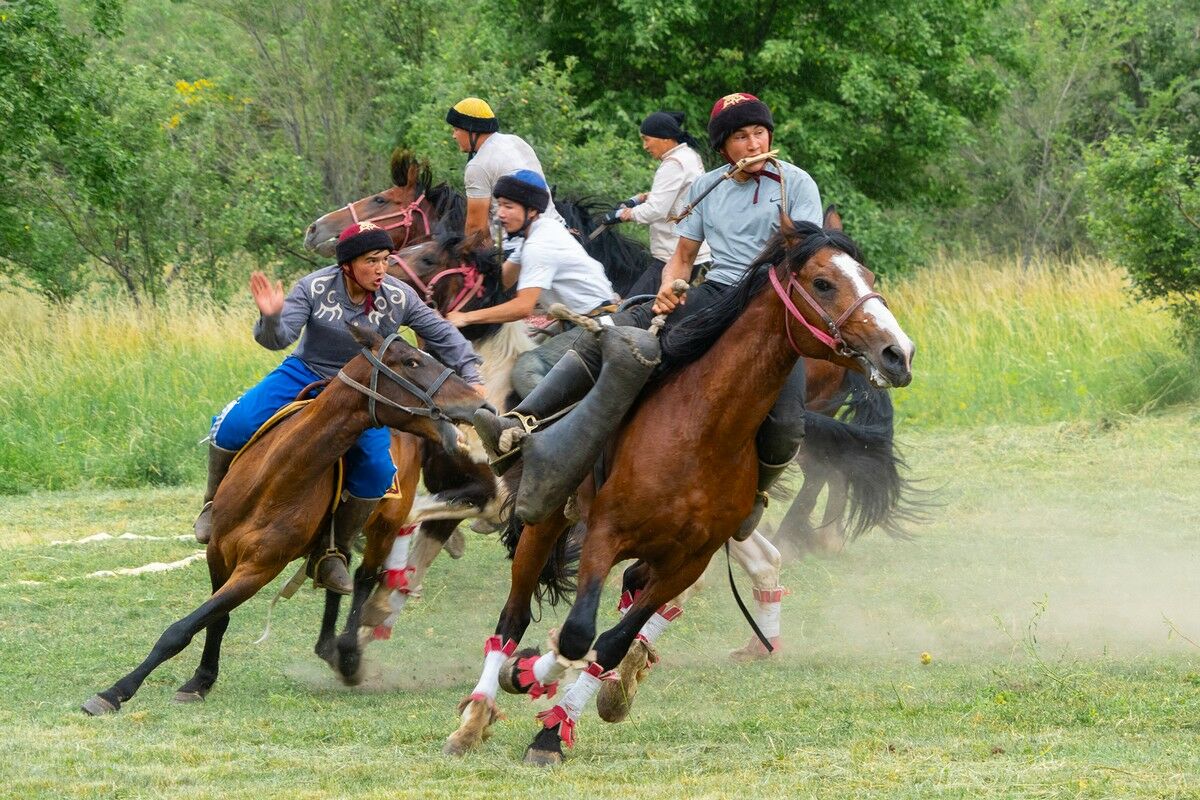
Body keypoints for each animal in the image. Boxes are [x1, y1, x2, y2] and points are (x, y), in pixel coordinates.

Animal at [81, 328, 487, 714]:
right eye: (411, 362)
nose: (479, 402)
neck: (276, 479)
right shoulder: (219, 554)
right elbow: (214, 619)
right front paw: (199, 680)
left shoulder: (259, 569)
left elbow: (184, 627)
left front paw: (117, 691)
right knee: (337, 565)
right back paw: (328, 643)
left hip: (387, 524)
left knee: (363, 577)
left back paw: (348, 655)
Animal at [446, 217, 912, 762]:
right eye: (823, 283)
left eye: (867, 275)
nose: (898, 353)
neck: (701, 430)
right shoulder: (603, 536)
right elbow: (579, 634)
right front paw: (528, 675)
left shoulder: (689, 560)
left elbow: (609, 643)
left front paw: (554, 727)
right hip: (547, 520)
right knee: (512, 617)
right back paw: (476, 715)